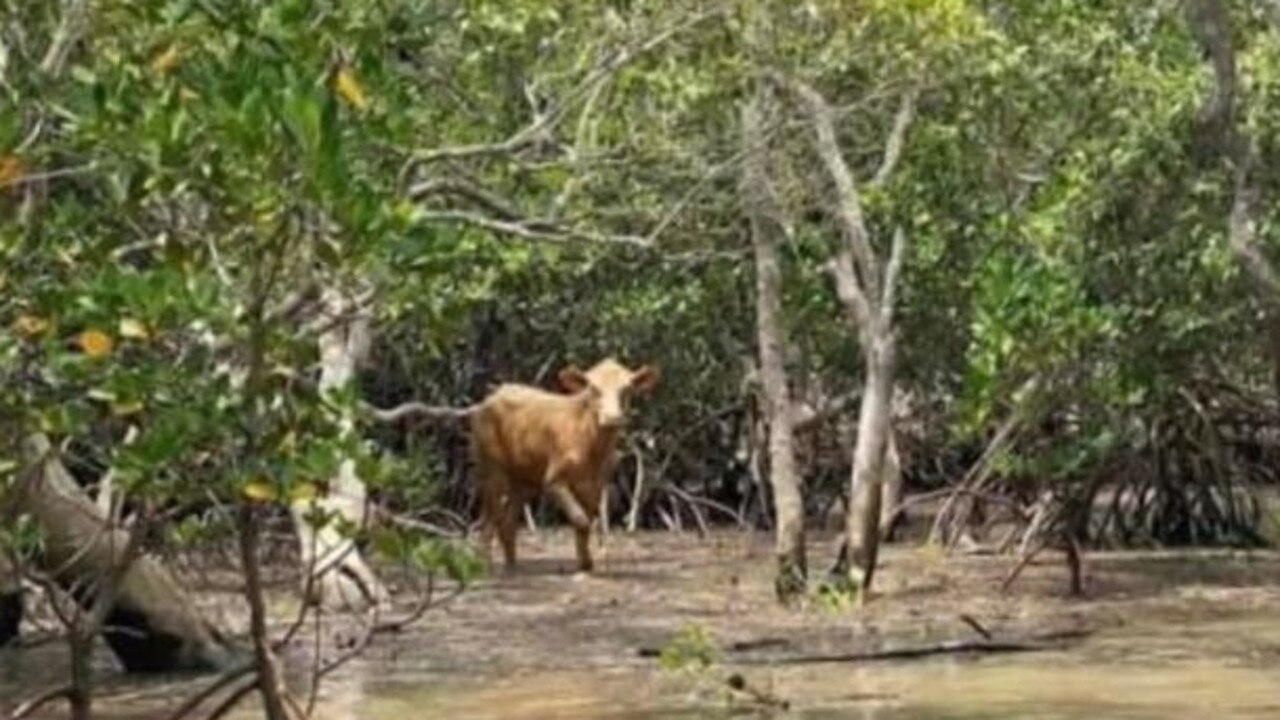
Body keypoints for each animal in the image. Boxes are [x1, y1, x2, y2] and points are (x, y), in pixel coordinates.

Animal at [468, 358, 655, 571]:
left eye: (626, 389)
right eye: (593, 389)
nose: (612, 418)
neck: (590, 445)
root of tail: (491, 398)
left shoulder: (597, 484)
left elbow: (587, 520)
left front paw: (585, 562)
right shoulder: (554, 479)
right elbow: (581, 520)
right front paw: (585, 562)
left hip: (523, 479)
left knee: (507, 521)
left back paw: (512, 565)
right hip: (492, 468)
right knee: (488, 519)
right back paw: (485, 564)